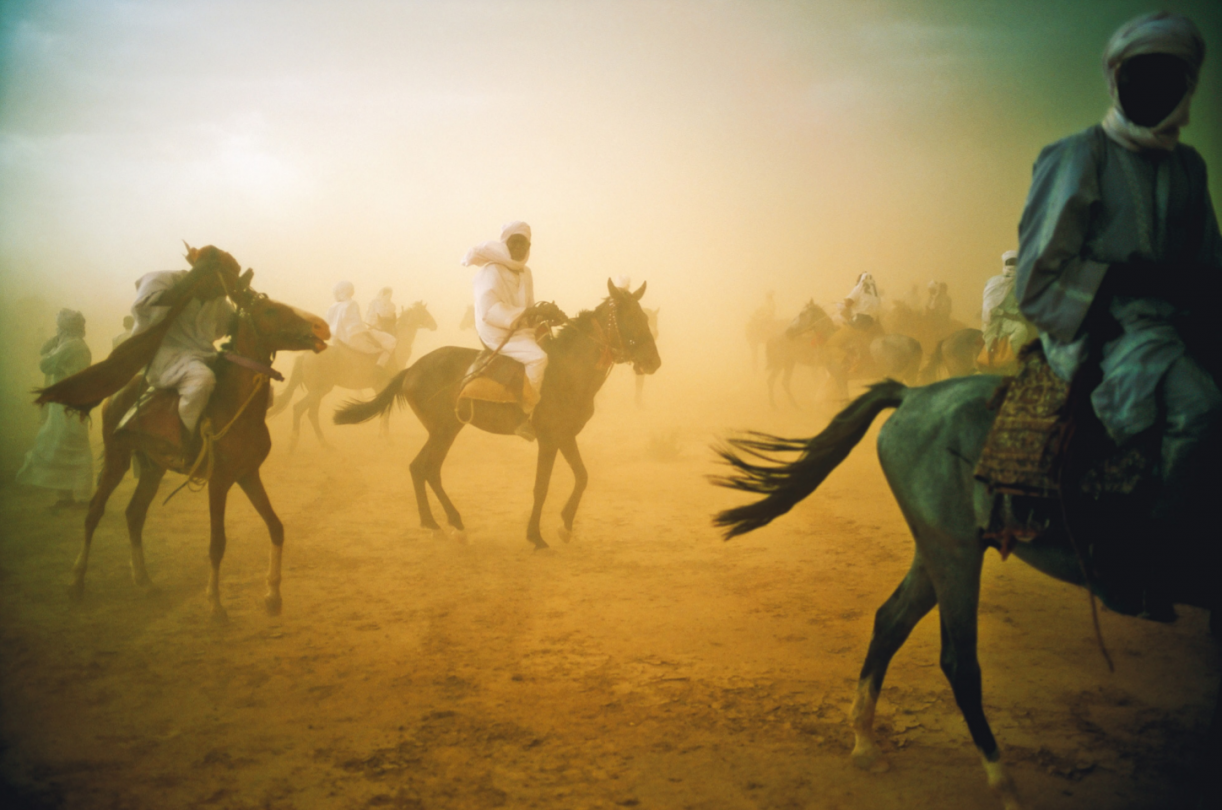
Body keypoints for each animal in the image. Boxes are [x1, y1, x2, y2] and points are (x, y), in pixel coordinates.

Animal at [66, 272, 325, 620]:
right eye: (270, 310)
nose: (321, 327)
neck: (235, 406)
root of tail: (117, 395)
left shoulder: (248, 474)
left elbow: (276, 527)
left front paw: (272, 595)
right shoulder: (219, 481)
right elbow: (217, 543)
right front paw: (215, 604)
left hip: (152, 466)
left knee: (135, 513)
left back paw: (144, 581)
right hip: (117, 457)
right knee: (94, 511)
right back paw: (77, 582)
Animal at [272, 300, 439, 449]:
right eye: (424, 312)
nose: (434, 325)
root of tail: (305, 356)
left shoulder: (378, 387)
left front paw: (382, 435)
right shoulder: (383, 385)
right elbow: (384, 410)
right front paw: (387, 439)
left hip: (317, 390)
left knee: (311, 413)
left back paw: (324, 444)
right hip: (320, 389)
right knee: (299, 408)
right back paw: (294, 443)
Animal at [332, 280, 659, 552]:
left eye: (646, 319)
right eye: (631, 319)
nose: (654, 361)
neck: (567, 369)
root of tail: (411, 369)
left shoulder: (565, 436)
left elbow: (582, 477)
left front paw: (565, 526)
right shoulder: (548, 439)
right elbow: (542, 487)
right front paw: (535, 535)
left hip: (445, 429)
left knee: (422, 468)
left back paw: (439, 524)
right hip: (444, 429)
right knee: (426, 468)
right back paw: (447, 524)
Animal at [713, 378, 1217, 810]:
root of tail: (914, 394)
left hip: (934, 547)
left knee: (890, 621)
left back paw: (866, 743)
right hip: (955, 550)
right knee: (959, 663)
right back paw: (1004, 786)